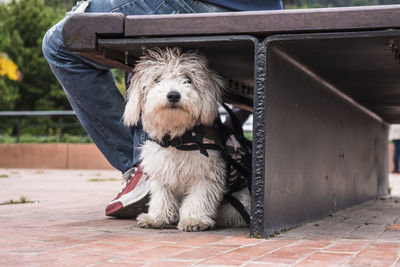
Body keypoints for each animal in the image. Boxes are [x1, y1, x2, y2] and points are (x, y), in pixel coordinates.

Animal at [123, 48, 248, 232]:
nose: (173, 95)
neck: (176, 140)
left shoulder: (207, 172)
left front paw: (193, 219)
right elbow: (161, 196)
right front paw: (156, 217)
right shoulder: (161, 171)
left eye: (188, 79)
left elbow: (199, 196)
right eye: (157, 79)